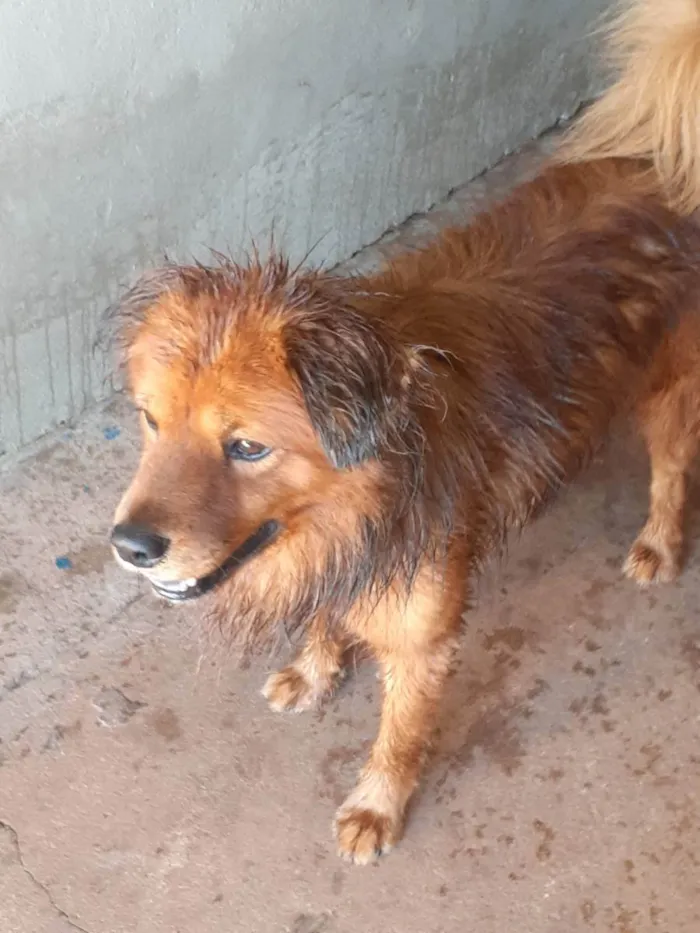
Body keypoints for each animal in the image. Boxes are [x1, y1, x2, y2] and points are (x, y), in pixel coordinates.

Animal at [110, 0, 700, 860]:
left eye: (247, 446)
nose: (128, 547)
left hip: (668, 389)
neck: (359, 498)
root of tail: (661, 150)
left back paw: (657, 543)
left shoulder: (423, 636)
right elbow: (326, 617)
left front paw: (376, 806)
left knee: (672, 467)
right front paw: (315, 668)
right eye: (150, 421)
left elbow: (401, 729)